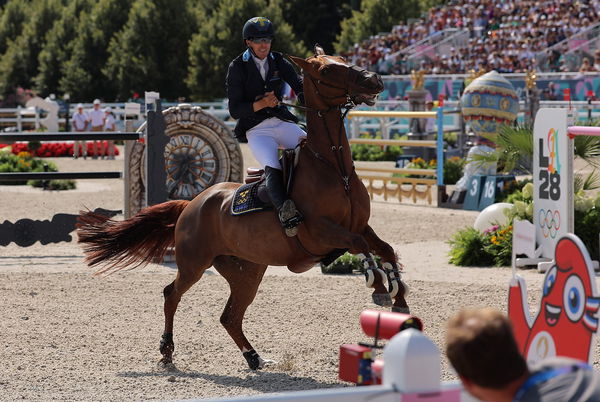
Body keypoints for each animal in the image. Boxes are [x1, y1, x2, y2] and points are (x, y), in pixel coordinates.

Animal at [77, 45, 410, 370]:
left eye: (343, 58)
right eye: (327, 70)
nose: (373, 79)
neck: (335, 168)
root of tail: (191, 204)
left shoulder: (360, 226)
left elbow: (385, 248)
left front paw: (399, 297)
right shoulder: (321, 232)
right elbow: (360, 246)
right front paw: (379, 287)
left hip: (247, 271)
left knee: (230, 316)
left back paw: (254, 357)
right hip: (194, 264)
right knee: (172, 295)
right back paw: (167, 351)